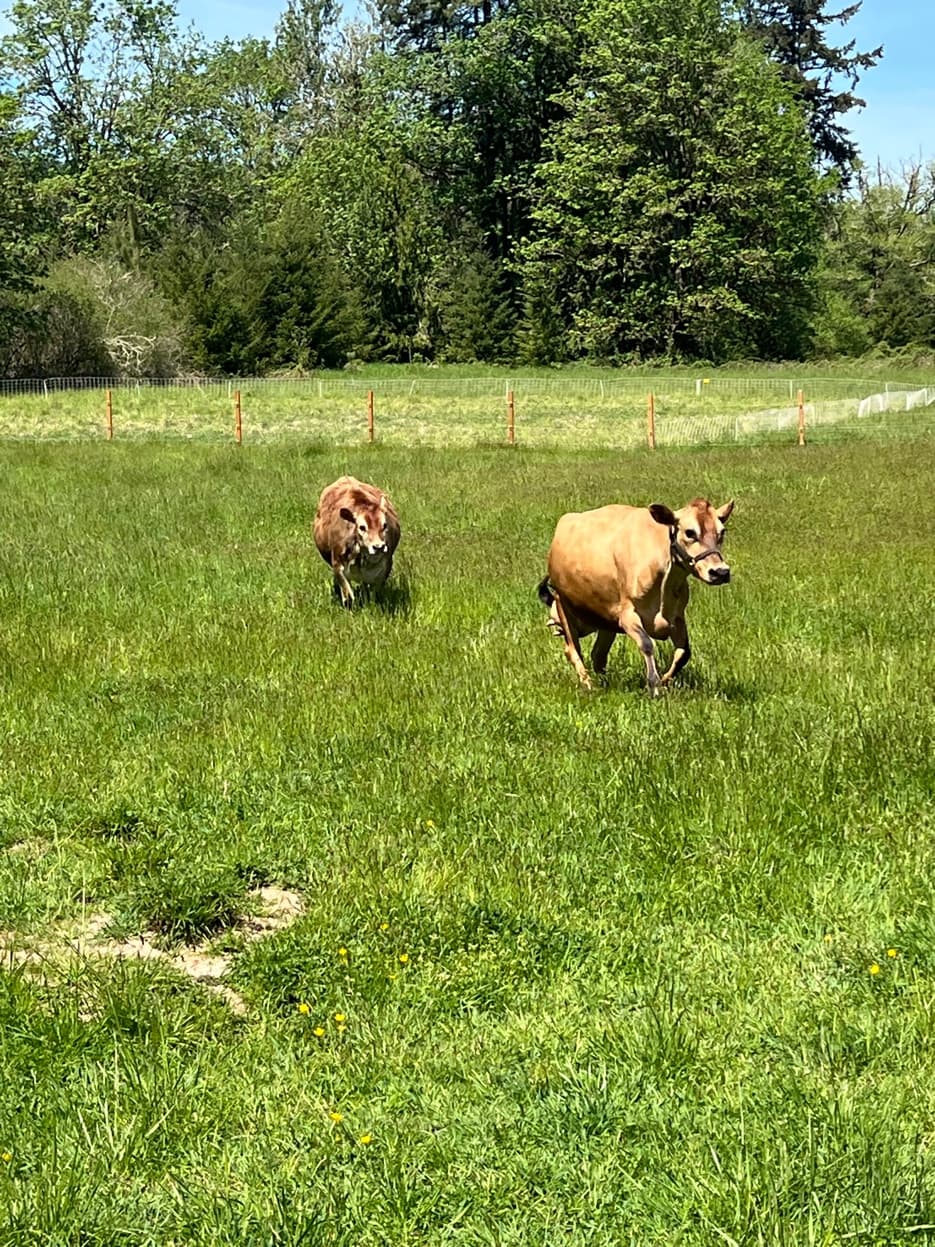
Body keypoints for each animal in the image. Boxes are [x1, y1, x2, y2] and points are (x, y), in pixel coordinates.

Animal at [313, 476, 401, 607]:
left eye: (385, 525)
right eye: (362, 527)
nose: (378, 547)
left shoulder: (385, 566)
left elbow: (374, 593)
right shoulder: (337, 564)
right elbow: (347, 593)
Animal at [538, 497, 734, 693]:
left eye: (722, 532)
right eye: (690, 532)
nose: (720, 572)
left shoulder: (677, 617)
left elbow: (684, 653)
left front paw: (665, 680)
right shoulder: (628, 615)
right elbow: (646, 644)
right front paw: (654, 685)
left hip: (606, 621)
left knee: (598, 655)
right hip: (563, 604)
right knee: (573, 650)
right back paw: (589, 685)